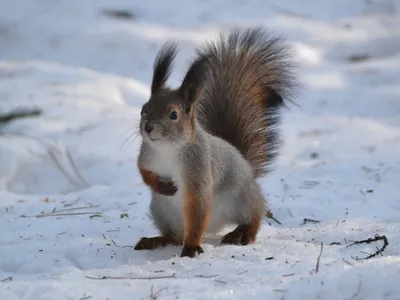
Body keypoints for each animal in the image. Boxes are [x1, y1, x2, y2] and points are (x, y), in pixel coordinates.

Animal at [134, 26, 296, 258]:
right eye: (143, 110)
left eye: (174, 115)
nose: (148, 127)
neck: (168, 148)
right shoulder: (146, 155)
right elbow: (144, 172)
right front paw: (161, 185)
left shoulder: (199, 171)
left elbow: (198, 209)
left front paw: (192, 247)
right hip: (161, 210)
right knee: (175, 236)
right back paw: (157, 240)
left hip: (240, 197)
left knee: (254, 216)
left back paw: (242, 233)